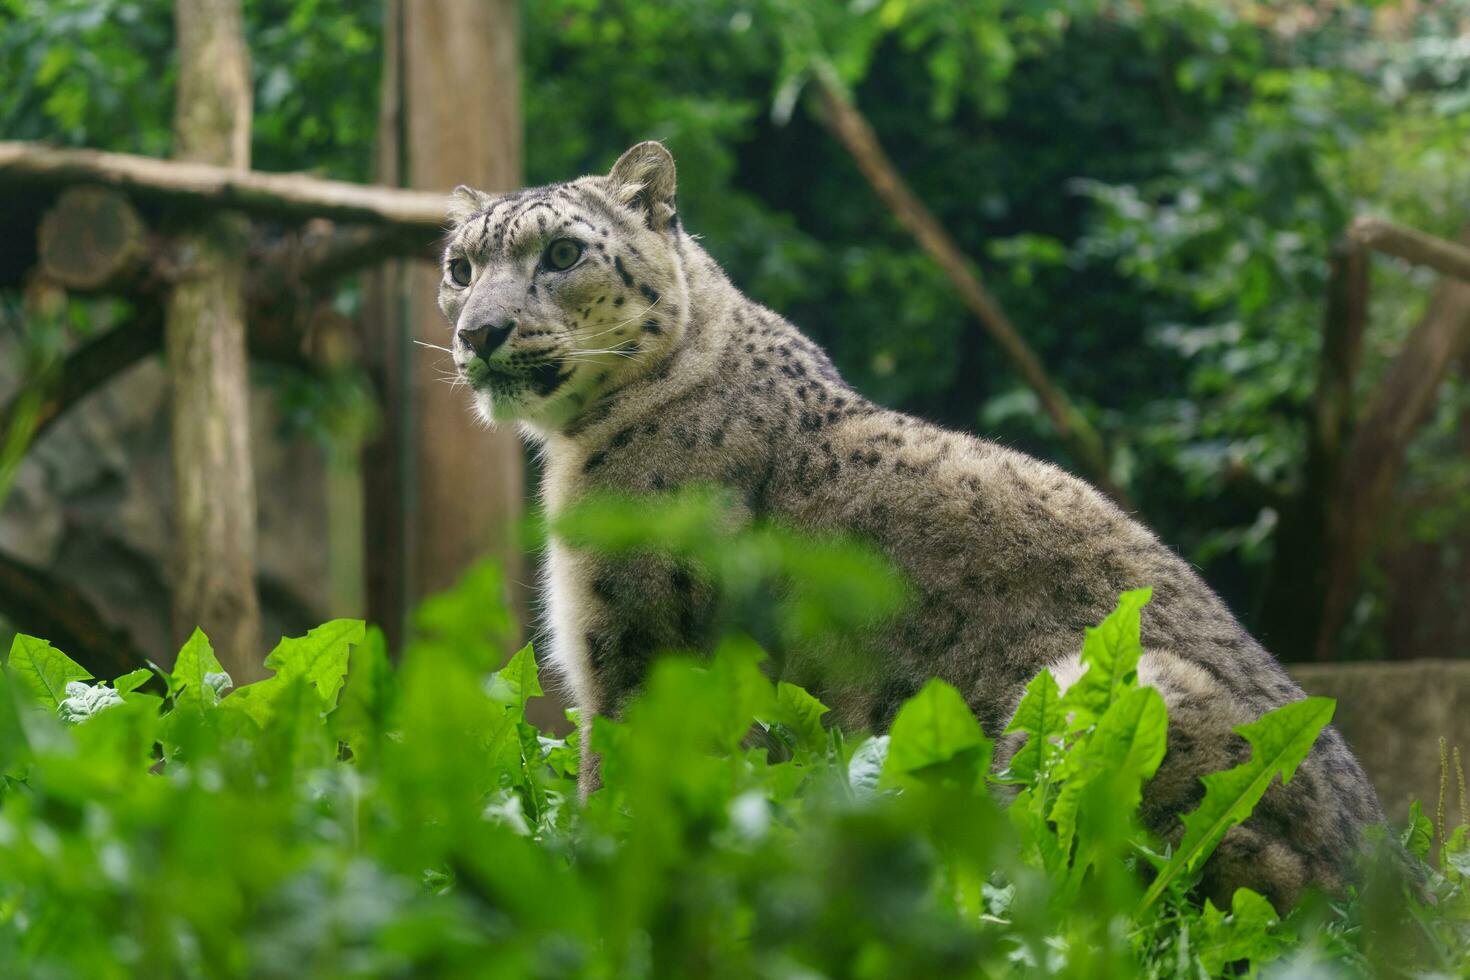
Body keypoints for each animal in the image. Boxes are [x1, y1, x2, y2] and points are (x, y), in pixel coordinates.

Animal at [438, 141, 1387, 910]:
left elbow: (618, 792)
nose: (479, 332)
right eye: (459, 265)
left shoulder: (634, 651)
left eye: (563, 252)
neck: (574, 449)